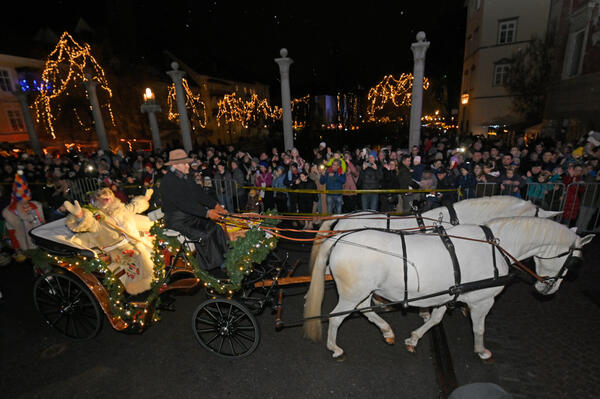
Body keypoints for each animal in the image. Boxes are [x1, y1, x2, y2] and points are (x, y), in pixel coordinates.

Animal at [304, 217, 596, 360]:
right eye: (574, 262)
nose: (549, 290)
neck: (496, 246)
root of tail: (340, 238)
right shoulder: (482, 301)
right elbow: (479, 328)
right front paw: (481, 351)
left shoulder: (449, 293)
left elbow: (435, 319)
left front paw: (413, 338)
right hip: (353, 292)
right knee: (337, 316)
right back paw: (334, 347)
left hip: (361, 291)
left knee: (365, 308)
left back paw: (386, 330)